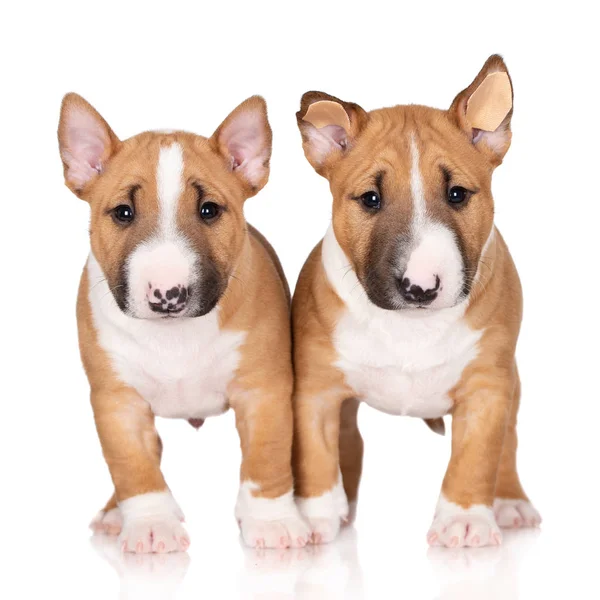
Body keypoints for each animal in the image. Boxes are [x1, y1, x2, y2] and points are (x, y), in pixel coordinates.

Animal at [59, 92, 312, 552]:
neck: (174, 336)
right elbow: (132, 464)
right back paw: (113, 514)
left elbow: (266, 455)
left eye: (209, 209)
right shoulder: (116, 400)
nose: (168, 294)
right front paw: (151, 525)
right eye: (123, 212)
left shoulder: (263, 389)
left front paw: (272, 522)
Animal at [292, 56, 540, 548]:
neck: (410, 326)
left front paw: (464, 520)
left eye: (457, 194)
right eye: (370, 198)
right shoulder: (316, 388)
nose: (420, 288)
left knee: (510, 442)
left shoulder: (488, 387)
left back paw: (510, 502)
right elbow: (316, 452)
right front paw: (314, 518)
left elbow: (478, 455)